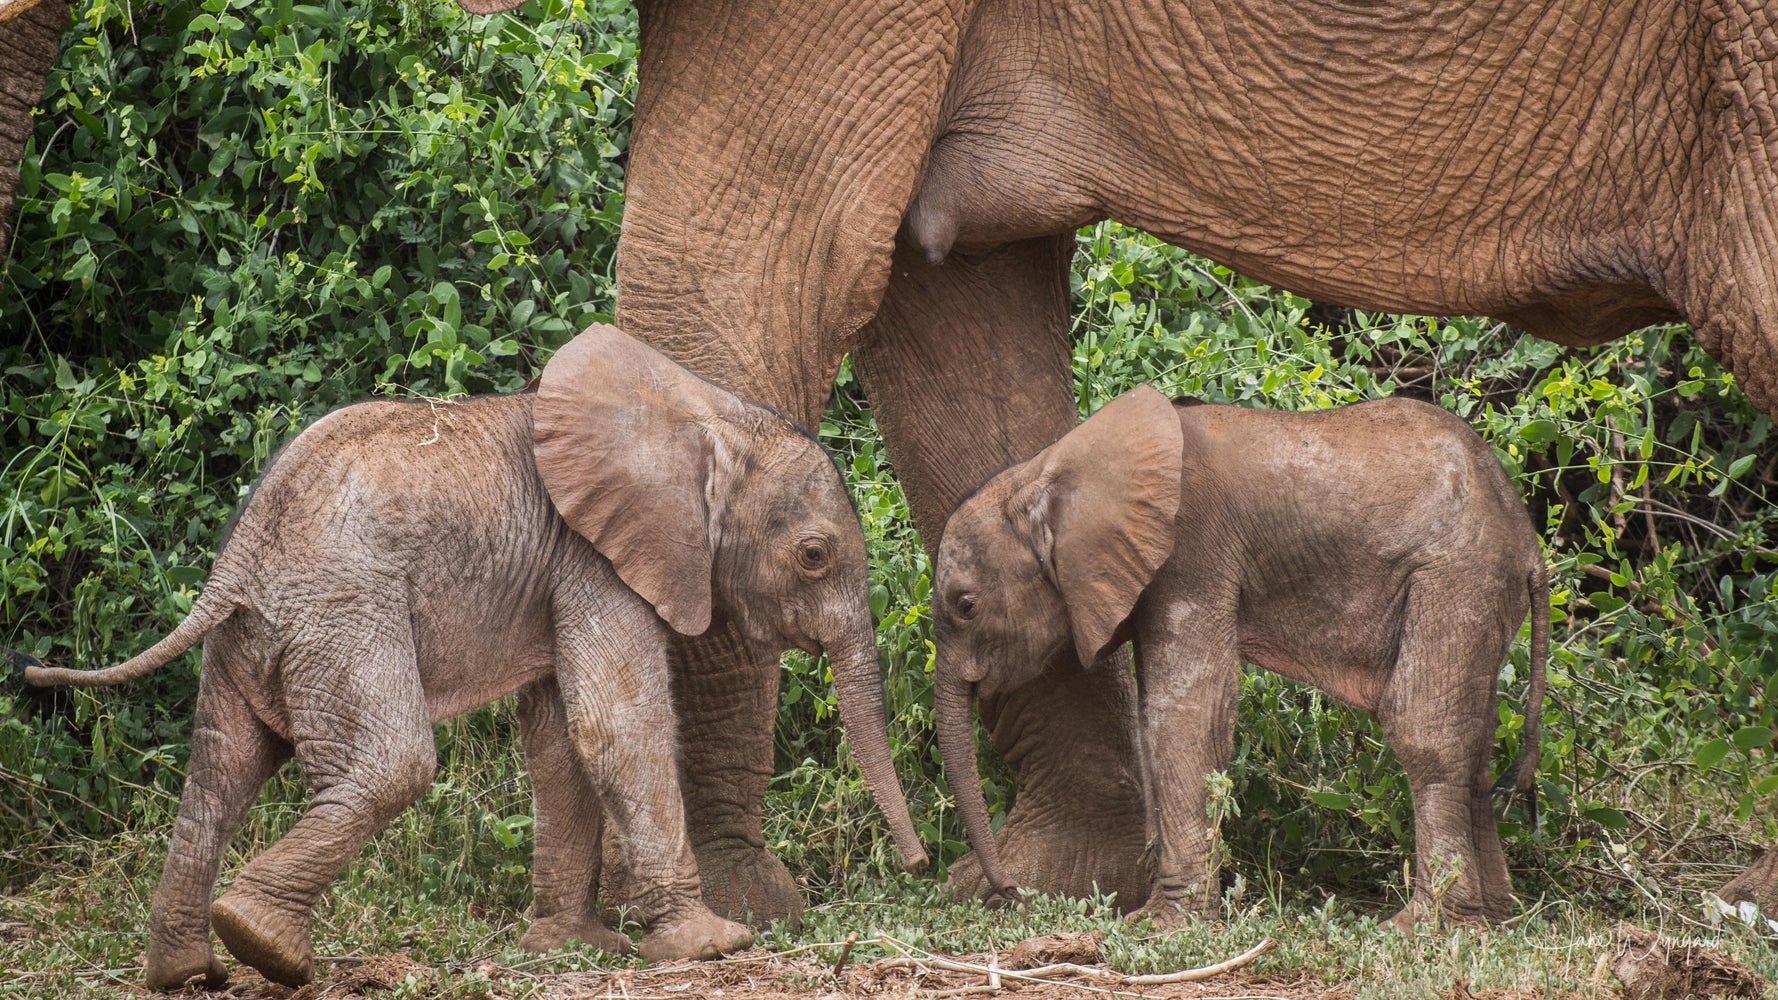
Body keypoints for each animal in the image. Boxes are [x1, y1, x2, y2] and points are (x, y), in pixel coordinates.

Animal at [27, 323, 924, 982]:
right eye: (814, 555)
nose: (918, 864)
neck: (702, 415)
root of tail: (236, 561)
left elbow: (561, 740)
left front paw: (570, 948)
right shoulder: (593, 558)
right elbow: (616, 725)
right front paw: (713, 945)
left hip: (261, 633)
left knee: (220, 770)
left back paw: (191, 970)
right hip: (342, 612)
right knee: (390, 763)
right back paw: (264, 946)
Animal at [938, 387, 1550, 925]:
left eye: (965, 606)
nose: (1009, 893)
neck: (1049, 468)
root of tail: (1529, 541)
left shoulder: (1192, 553)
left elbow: (1184, 717)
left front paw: (1163, 925)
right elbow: (1152, 716)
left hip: (1457, 576)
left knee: (1425, 731)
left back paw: (1421, 926)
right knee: (1475, 741)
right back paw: (1491, 922)